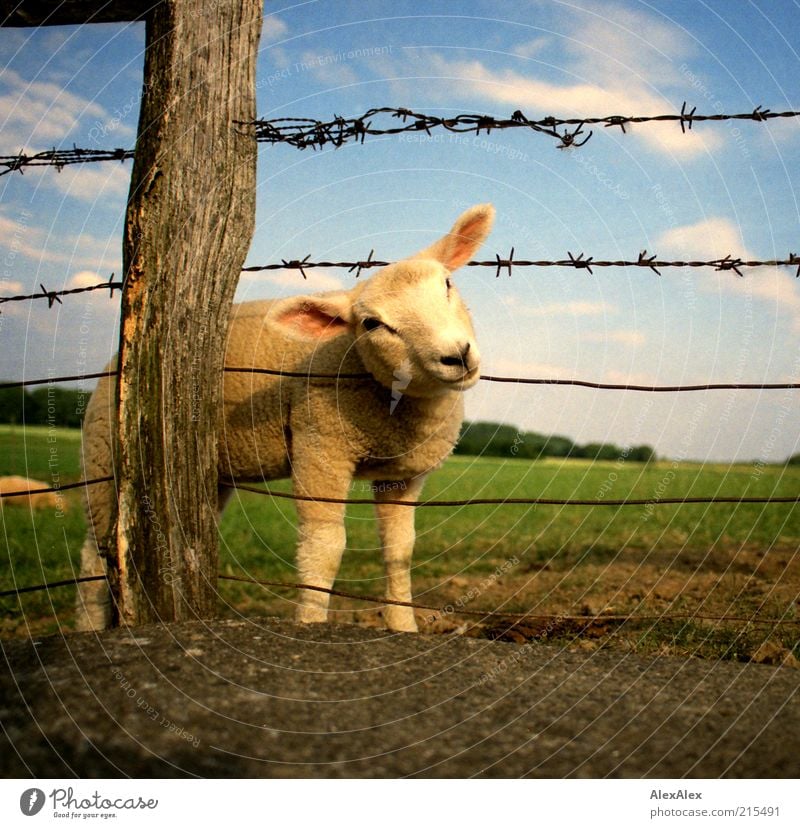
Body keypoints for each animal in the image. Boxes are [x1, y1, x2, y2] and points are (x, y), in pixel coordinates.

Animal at [76, 204, 494, 632]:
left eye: (447, 284)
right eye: (372, 324)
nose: (456, 355)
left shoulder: (403, 474)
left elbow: (399, 549)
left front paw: (402, 626)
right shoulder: (319, 446)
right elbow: (324, 548)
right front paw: (311, 623)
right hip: (104, 455)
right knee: (96, 552)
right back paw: (89, 623)